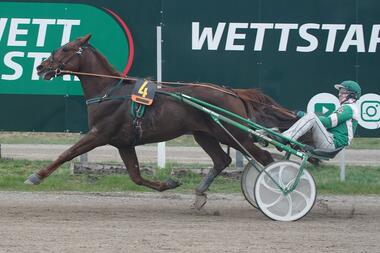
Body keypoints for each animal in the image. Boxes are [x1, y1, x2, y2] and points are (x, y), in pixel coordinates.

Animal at [26, 34, 298, 210]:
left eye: (65, 49)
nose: (40, 67)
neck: (109, 91)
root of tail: (233, 92)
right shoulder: (123, 143)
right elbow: (136, 176)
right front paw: (170, 182)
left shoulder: (99, 134)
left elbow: (67, 153)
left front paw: (36, 177)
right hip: (205, 134)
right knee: (222, 160)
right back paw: (200, 194)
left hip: (233, 134)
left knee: (264, 158)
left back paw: (282, 192)